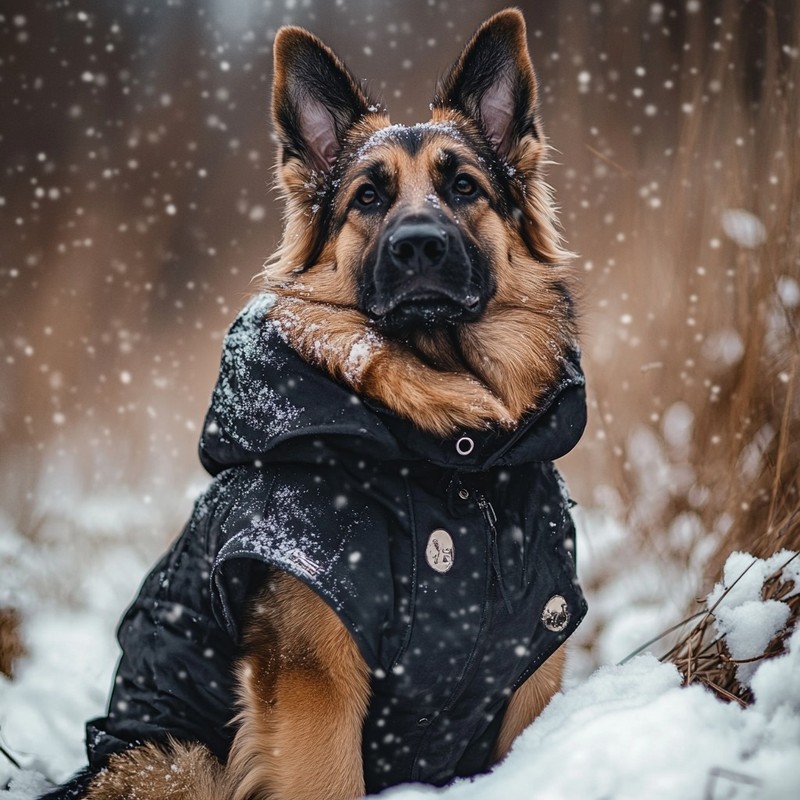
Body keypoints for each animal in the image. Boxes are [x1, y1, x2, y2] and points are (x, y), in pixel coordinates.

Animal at [45, 7, 588, 800]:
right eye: (368, 197)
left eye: (464, 187)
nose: (418, 247)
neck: (447, 452)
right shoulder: (315, 683)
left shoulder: (529, 672)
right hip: (177, 756)